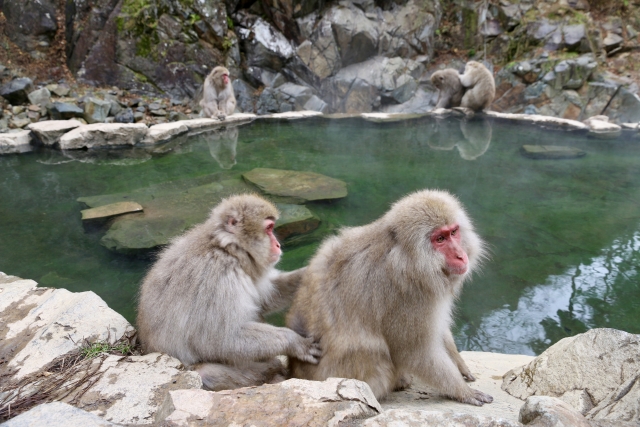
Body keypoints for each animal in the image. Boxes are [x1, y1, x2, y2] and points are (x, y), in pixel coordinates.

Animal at [137, 194, 321, 391]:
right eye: (269, 228)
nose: (278, 245)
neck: (227, 248)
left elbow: (266, 298)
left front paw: (309, 272)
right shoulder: (216, 278)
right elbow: (221, 339)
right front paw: (295, 342)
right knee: (207, 372)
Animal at [286, 189, 493, 406]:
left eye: (453, 232)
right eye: (440, 239)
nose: (461, 255)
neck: (408, 258)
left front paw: (459, 364)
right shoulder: (407, 295)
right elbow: (416, 352)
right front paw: (463, 392)